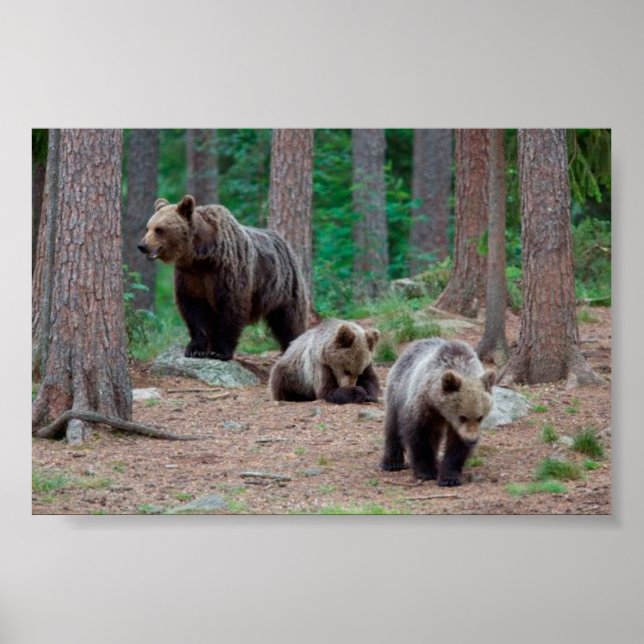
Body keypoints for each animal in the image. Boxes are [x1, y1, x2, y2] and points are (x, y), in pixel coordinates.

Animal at [138, 195, 309, 361]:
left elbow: (230, 308)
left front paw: (219, 352)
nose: (142, 246)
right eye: (148, 227)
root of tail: (285, 243)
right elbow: (194, 309)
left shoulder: (227, 271)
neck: (201, 256)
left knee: (289, 320)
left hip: (284, 287)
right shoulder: (189, 276)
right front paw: (196, 349)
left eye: (159, 229)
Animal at [381, 338, 495, 486]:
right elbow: (419, 435)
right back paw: (392, 463)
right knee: (393, 426)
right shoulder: (423, 405)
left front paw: (450, 477)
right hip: (398, 390)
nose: (472, 440)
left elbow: (456, 446)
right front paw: (427, 471)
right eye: (462, 417)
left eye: (480, 417)